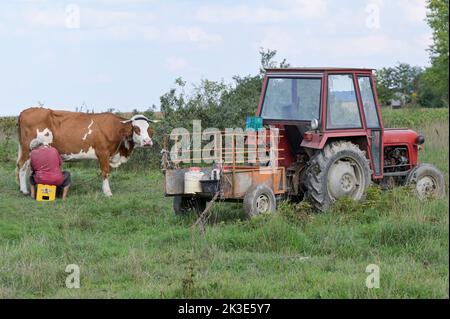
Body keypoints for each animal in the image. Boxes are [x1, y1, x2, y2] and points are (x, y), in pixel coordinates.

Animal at [15, 107, 156, 198]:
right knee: (22, 166)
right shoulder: (103, 153)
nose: (147, 142)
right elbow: (105, 172)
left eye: (148, 129)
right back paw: (24, 190)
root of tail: (24, 111)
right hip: (28, 148)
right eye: (136, 128)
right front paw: (107, 192)